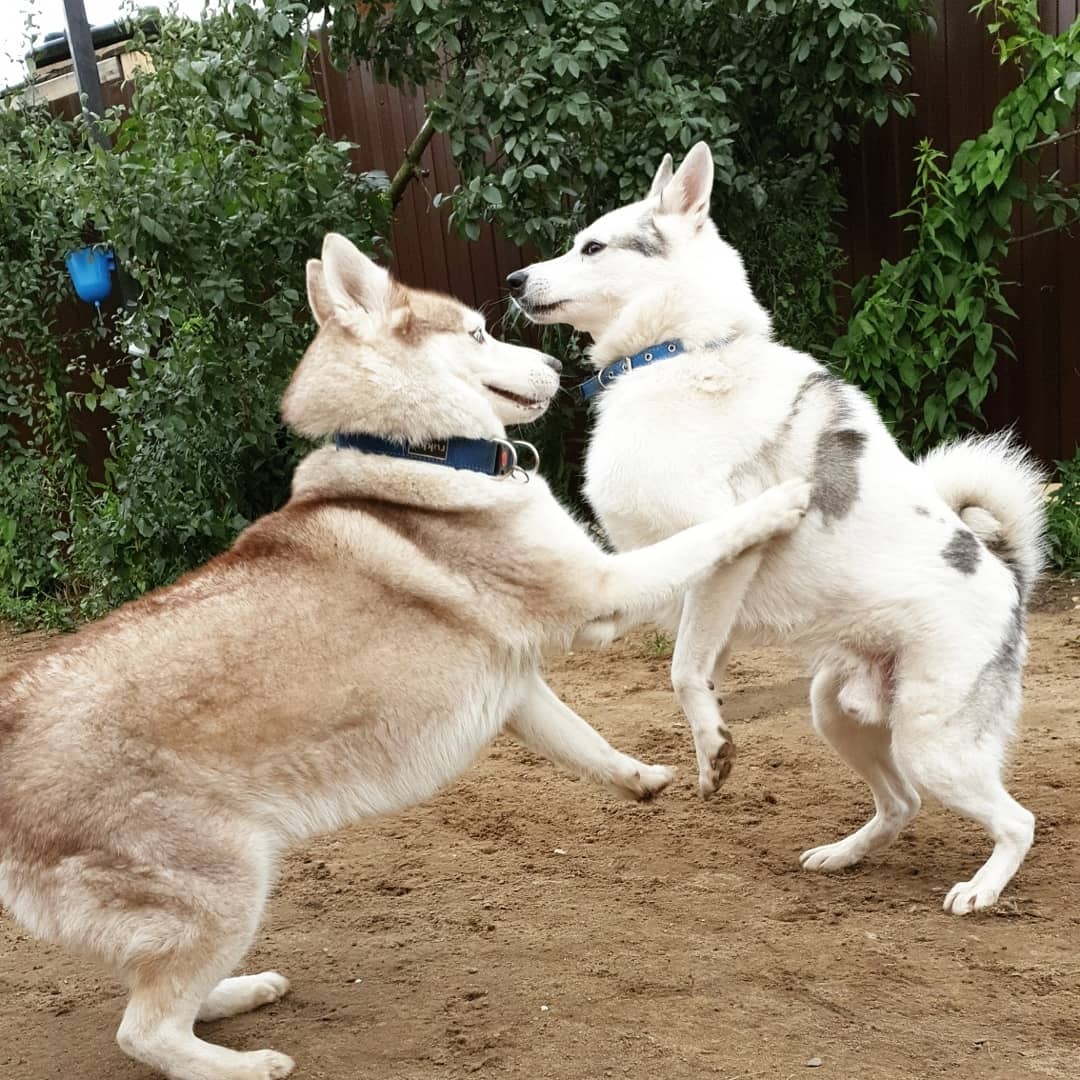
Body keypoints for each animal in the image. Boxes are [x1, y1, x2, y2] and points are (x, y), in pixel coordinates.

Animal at [509, 143, 1049, 915]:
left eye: (592, 246)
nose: (513, 280)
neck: (677, 353)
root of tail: (1011, 577)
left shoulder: (722, 548)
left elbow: (684, 669)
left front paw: (713, 749)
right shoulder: (671, 563)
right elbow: (657, 625)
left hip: (932, 742)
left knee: (1015, 820)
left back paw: (980, 889)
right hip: (837, 712)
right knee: (901, 804)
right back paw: (843, 854)